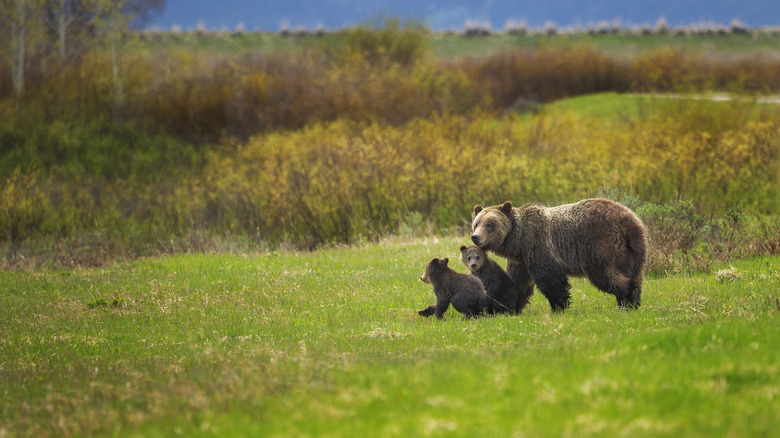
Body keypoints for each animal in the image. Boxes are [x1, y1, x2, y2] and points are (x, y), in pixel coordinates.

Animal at [472, 198, 648, 312]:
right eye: (476, 223)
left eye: (489, 224)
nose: (475, 237)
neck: (518, 241)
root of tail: (627, 221)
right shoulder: (521, 260)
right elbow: (516, 281)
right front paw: (503, 307)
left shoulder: (538, 245)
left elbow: (550, 279)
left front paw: (559, 306)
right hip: (633, 251)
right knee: (635, 274)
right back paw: (634, 300)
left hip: (599, 242)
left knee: (604, 272)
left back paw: (626, 299)